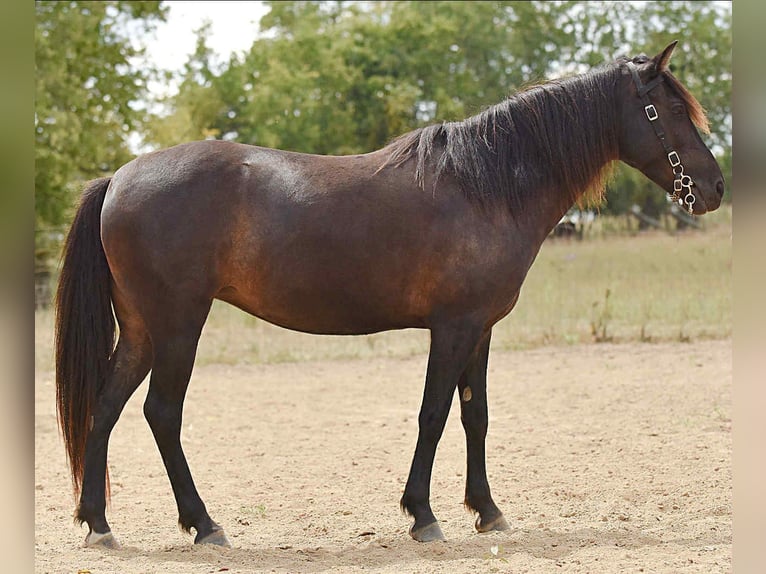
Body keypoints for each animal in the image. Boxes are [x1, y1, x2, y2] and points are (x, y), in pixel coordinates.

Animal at [55, 41, 724, 548]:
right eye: (666, 109)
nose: (715, 187)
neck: (484, 187)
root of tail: (119, 177)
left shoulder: (480, 329)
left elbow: (475, 415)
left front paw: (487, 511)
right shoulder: (453, 327)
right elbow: (433, 414)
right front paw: (423, 516)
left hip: (142, 330)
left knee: (105, 408)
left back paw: (98, 525)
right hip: (177, 326)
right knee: (161, 414)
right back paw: (204, 524)